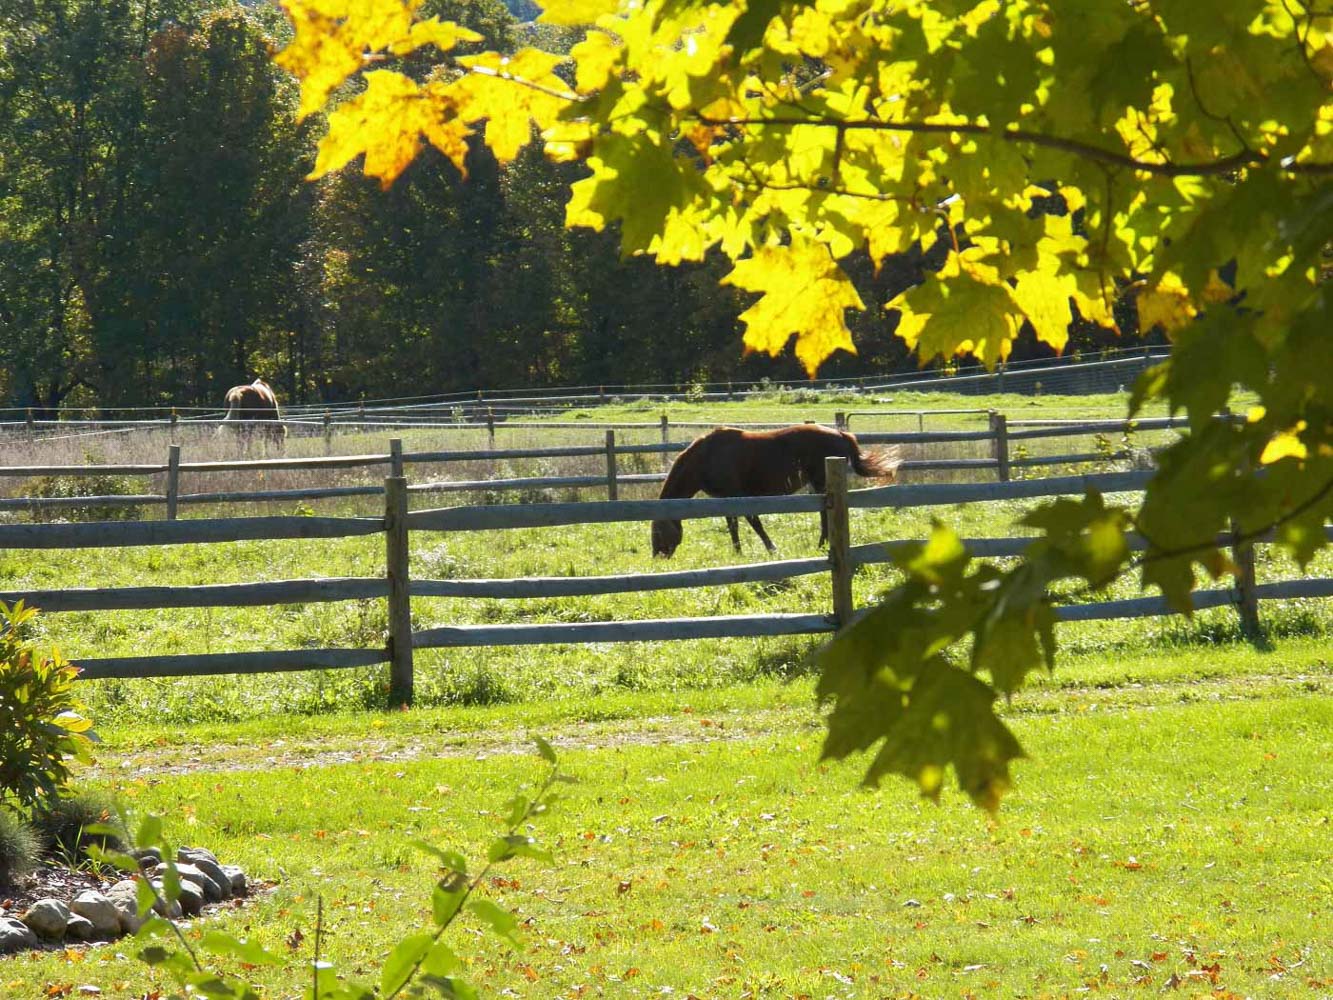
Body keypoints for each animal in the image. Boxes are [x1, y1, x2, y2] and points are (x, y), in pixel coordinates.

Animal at [650, 424, 900, 558]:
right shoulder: (724, 499)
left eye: (658, 532)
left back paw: (822, 544)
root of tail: (842, 434)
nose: (658, 556)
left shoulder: (737, 495)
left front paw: (771, 549)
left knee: (824, 515)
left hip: (821, 483)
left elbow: (754, 522)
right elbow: (732, 525)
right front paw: (738, 552)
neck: (706, 457)